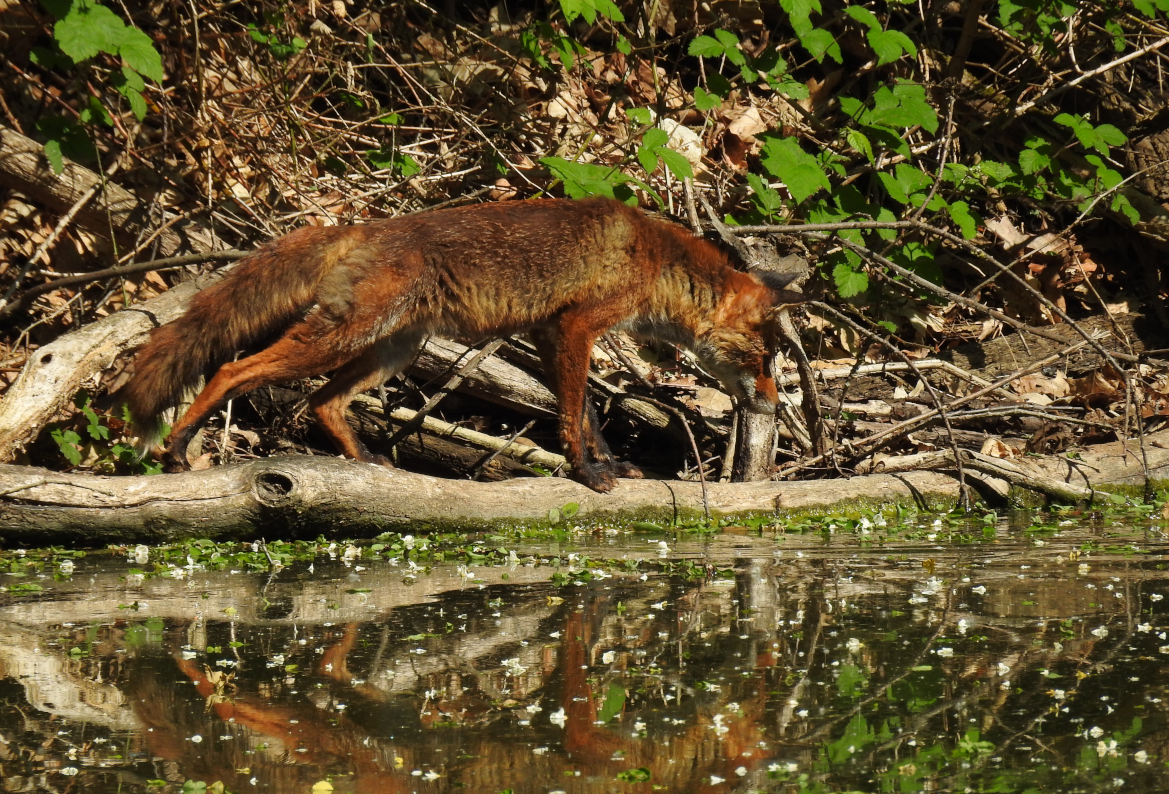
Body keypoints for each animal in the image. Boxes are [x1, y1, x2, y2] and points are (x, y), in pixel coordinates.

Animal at [125, 197, 804, 491]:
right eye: (766, 359)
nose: (775, 405)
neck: (653, 259)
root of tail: (360, 226)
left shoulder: (548, 333)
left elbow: (585, 415)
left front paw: (607, 462)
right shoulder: (576, 329)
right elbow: (573, 415)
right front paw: (588, 473)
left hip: (389, 351)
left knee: (322, 402)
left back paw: (365, 462)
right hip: (344, 338)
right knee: (231, 371)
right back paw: (177, 449)